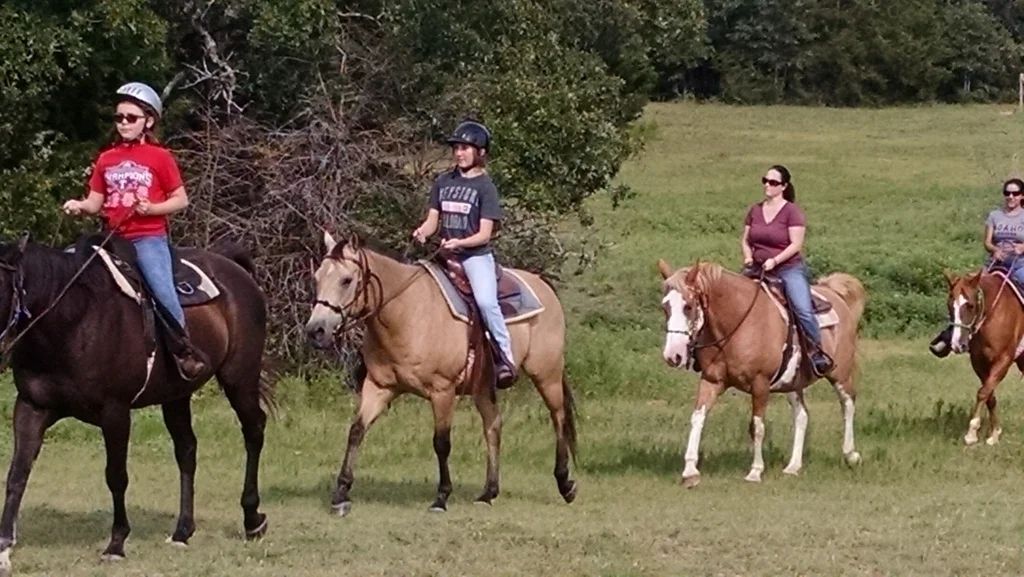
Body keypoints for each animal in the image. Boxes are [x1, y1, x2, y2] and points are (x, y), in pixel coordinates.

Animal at [0, 232, 274, 573]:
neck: (74, 318)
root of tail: (232, 267)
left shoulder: (115, 413)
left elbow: (116, 477)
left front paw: (116, 543)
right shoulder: (30, 408)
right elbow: (16, 475)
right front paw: (4, 549)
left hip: (240, 378)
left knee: (253, 432)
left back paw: (252, 519)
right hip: (177, 395)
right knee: (187, 449)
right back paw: (183, 531)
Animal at [301, 232, 577, 516]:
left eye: (346, 280)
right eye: (317, 278)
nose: (316, 331)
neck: (407, 313)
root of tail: (543, 286)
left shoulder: (442, 390)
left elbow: (441, 442)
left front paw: (441, 497)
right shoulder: (379, 386)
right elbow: (356, 431)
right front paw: (341, 493)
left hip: (546, 374)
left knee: (558, 417)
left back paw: (565, 483)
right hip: (483, 387)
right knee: (493, 425)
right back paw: (488, 492)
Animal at [655, 259, 864, 485]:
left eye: (688, 306)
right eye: (665, 307)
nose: (673, 355)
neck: (738, 323)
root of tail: (833, 293)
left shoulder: (760, 384)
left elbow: (757, 426)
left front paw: (755, 471)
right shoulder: (711, 381)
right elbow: (697, 418)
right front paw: (690, 471)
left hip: (840, 373)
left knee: (848, 403)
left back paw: (851, 454)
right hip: (793, 382)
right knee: (802, 416)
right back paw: (793, 466)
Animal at [937, 268, 1024, 446]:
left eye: (970, 305)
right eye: (949, 305)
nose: (957, 344)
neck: (993, 313)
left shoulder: (1003, 360)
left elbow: (983, 393)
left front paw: (971, 433)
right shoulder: (979, 362)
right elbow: (989, 395)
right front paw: (995, 434)